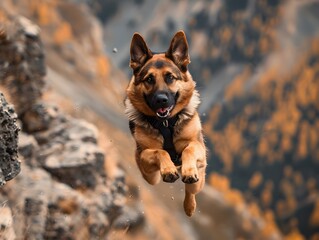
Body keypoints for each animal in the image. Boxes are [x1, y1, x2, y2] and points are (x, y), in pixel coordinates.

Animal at [125, 31, 208, 217]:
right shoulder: (144, 159)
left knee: (191, 190)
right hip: (150, 177)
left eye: (170, 77)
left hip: (199, 179)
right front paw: (169, 169)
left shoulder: (197, 146)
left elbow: (189, 149)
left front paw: (188, 170)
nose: (161, 100)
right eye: (149, 79)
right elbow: (159, 151)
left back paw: (189, 205)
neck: (166, 123)